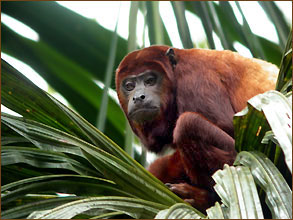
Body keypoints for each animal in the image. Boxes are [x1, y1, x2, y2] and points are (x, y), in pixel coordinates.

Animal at [114, 45, 276, 211]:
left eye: (150, 81)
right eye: (129, 86)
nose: (138, 97)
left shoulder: (195, 79)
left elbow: (229, 127)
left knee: (188, 124)